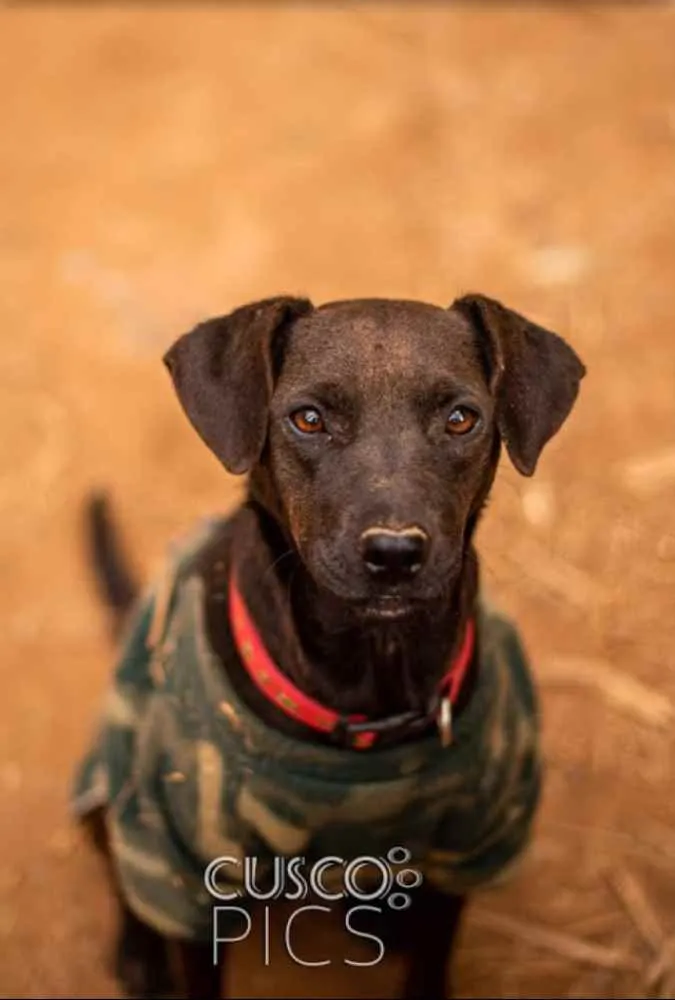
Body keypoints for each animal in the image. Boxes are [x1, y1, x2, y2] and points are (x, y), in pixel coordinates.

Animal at [74, 292, 588, 996]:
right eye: (308, 419)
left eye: (461, 419)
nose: (394, 552)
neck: (373, 673)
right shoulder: (193, 869)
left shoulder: (471, 842)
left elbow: (433, 958)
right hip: (124, 798)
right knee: (129, 881)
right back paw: (140, 954)